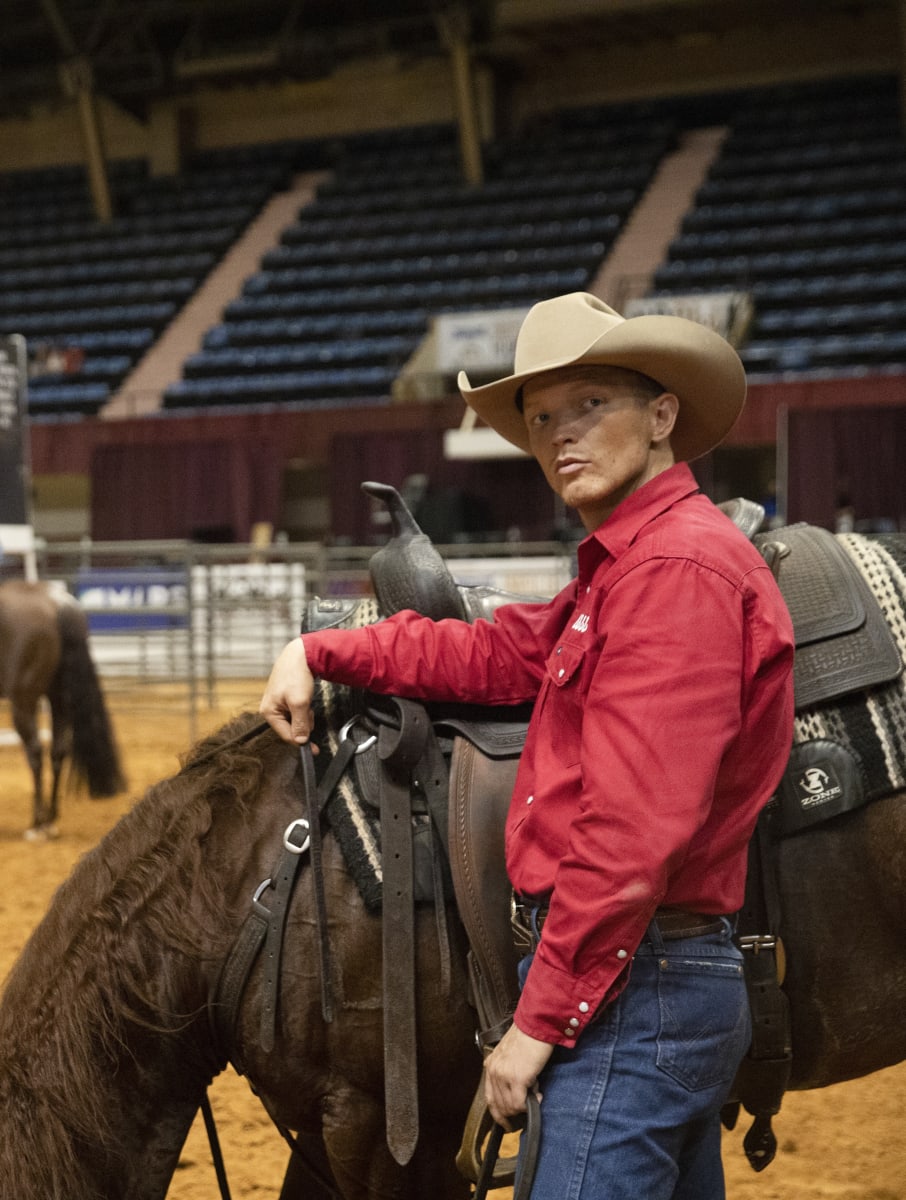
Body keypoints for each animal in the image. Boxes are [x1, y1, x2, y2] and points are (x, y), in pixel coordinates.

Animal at [0, 580, 124, 835]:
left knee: (35, 752)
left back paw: (38, 822)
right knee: (58, 750)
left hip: (24, 700)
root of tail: (57, 604)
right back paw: (50, 818)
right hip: (59, 698)